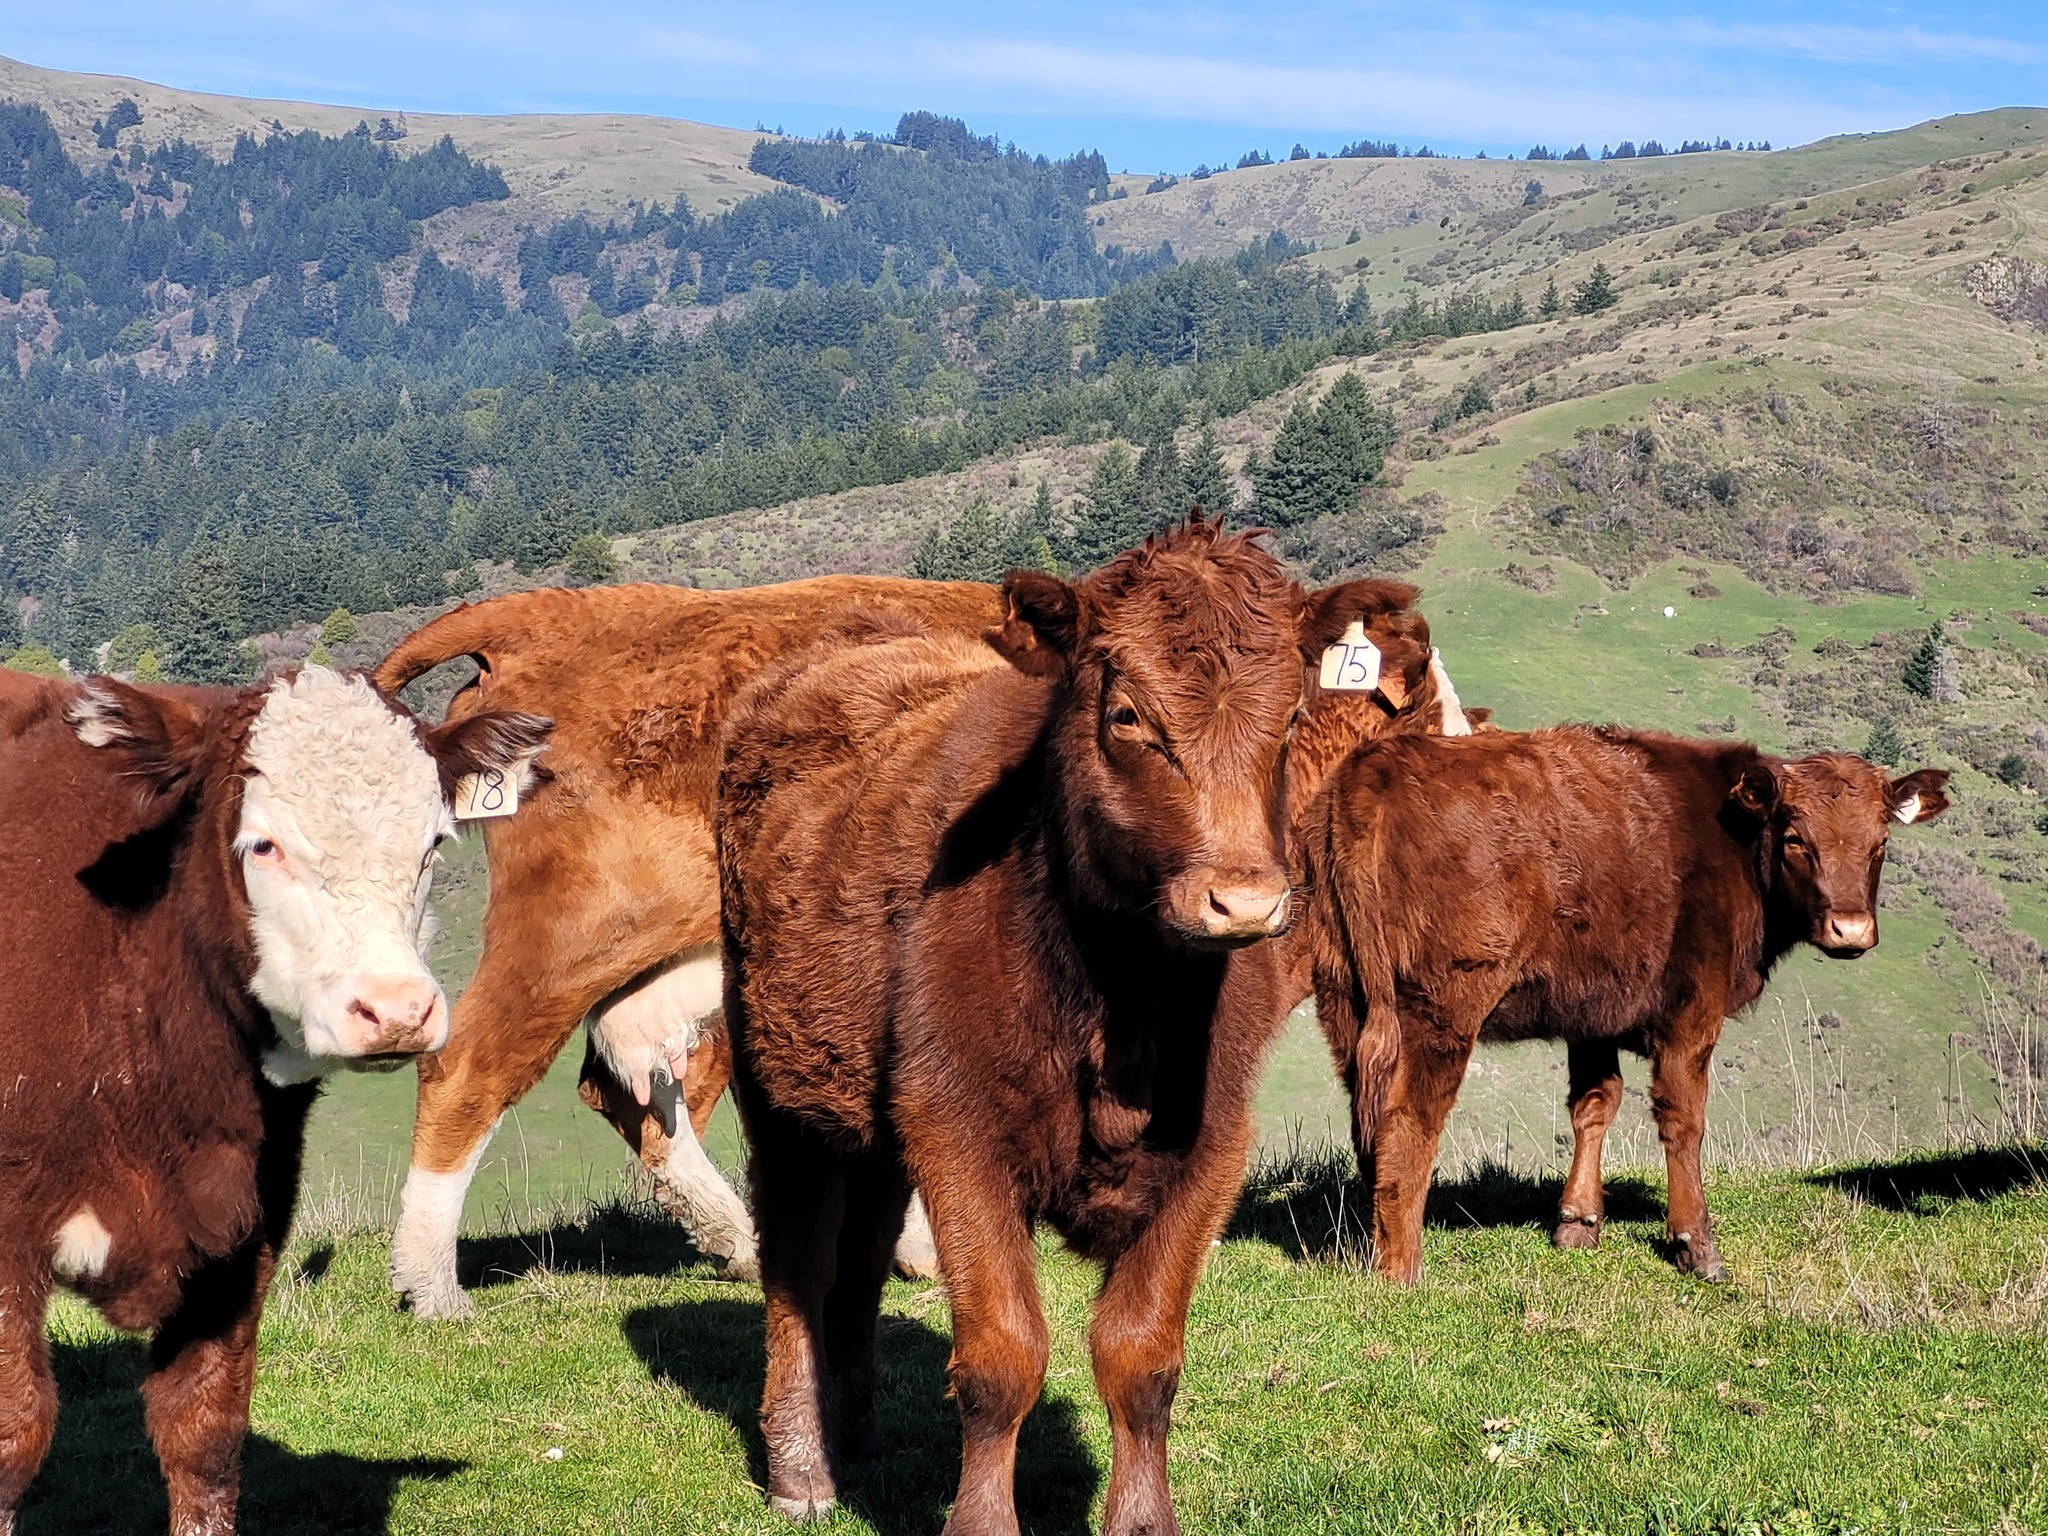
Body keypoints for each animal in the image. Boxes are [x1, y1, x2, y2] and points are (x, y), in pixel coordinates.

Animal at [0, 666, 550, 1535]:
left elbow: (205, 1434)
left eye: (434, 843)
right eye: (263, 844)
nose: (396, 1009)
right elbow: (17, 1434)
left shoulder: (245, 1227)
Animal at [717, 519, 1413, 1533]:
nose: (1244, 902)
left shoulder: (1210, 1151)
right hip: (777, 1085)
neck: (1123, 998)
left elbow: (1142, 1356)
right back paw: (802, 1471)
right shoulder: (957, 1131)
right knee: (798, 1265)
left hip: (870, 1105)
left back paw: (857, 1435)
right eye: (1126, 717)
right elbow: (1002, 1357)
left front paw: (1142, 1520)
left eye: (1289, 719)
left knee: (863, 1253)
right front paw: (980, 1523)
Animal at [1295, 726, 1951, 1286]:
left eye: (1881, 843)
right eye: (1796, 839)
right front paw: (1696, 1245)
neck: (1728, 836)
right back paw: (1401, 1269)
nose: (1851, 929)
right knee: (1408, 1121)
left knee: (1368, 1123)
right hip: (1441, 1010)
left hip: (1345, 999)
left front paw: (1578, 1222)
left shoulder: (1593, 1014)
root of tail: (1375, 767)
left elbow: (1595, 1104)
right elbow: (1684, 1119)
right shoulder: (1692, 1010)